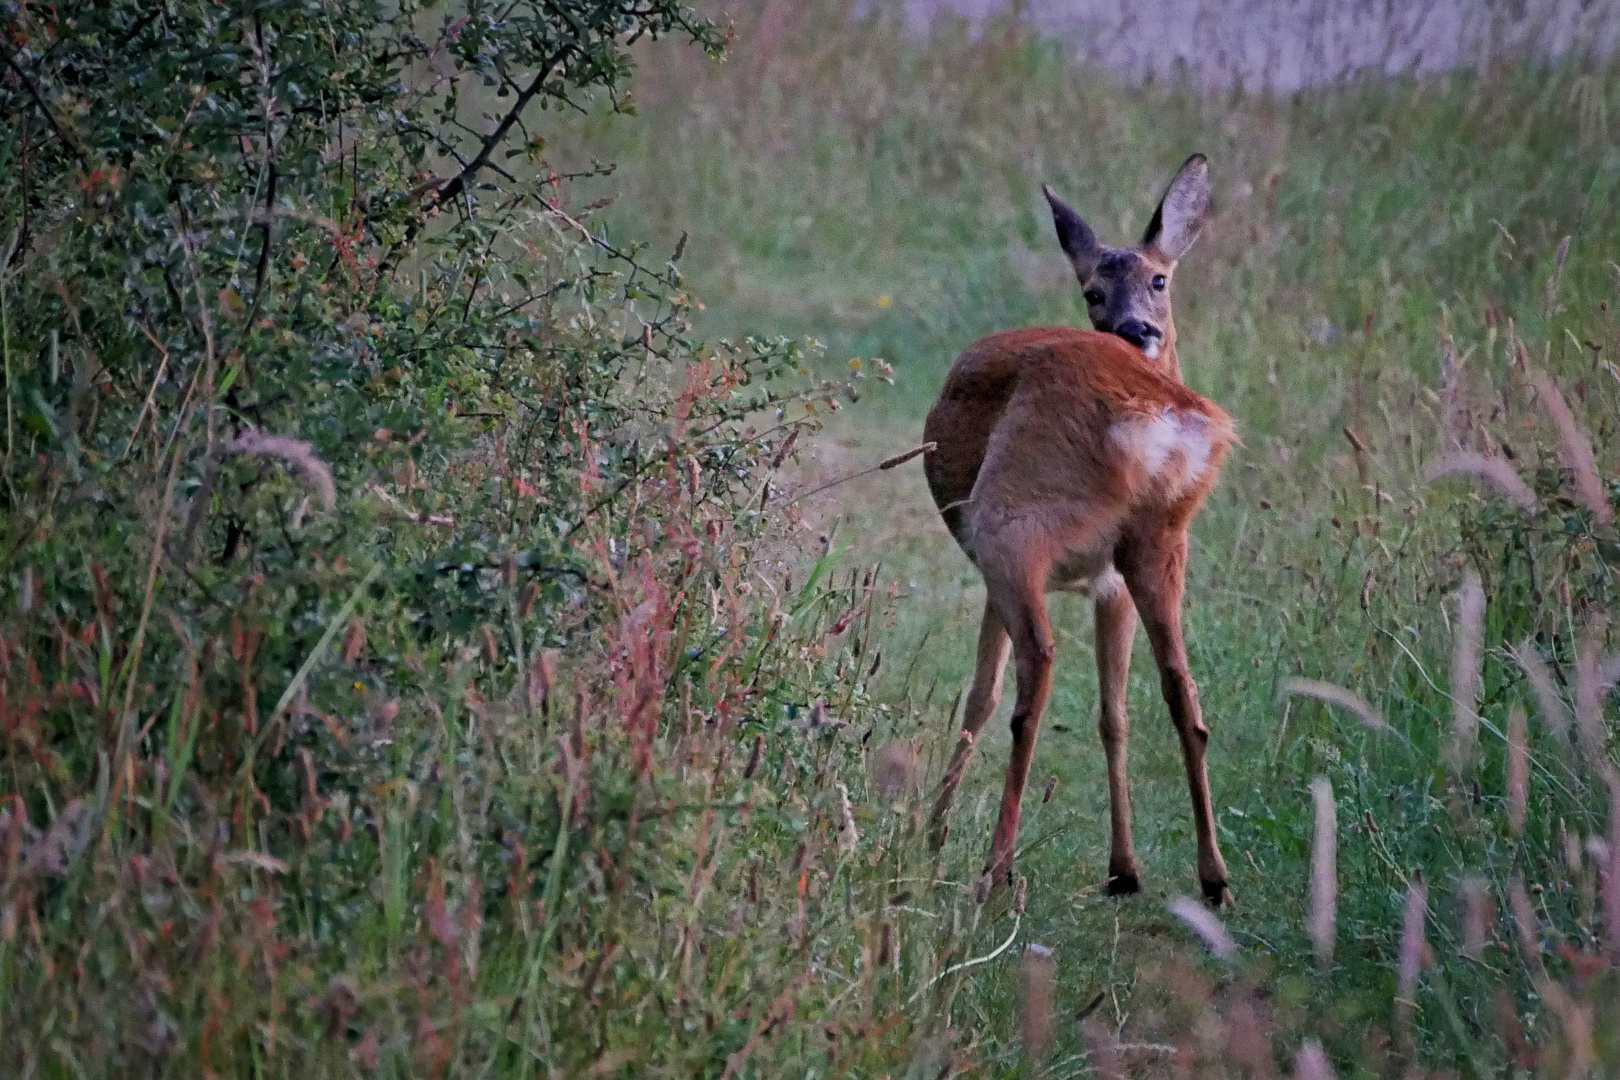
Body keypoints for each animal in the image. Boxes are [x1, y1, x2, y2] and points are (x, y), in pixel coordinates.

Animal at [920, 153, 1231, 906]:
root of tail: (1153, 410)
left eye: (1159, 280)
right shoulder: (1108, 583)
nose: (1136, 329)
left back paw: (993, 869)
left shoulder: (996, 569)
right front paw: (1124, 865)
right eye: (1092, 290)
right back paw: (1212, 876)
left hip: (1009, 526)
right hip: (1159, 541)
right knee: (1182, 690)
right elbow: (1113, 712)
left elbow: (980, 694)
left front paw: (931, 835)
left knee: (1035, 669)